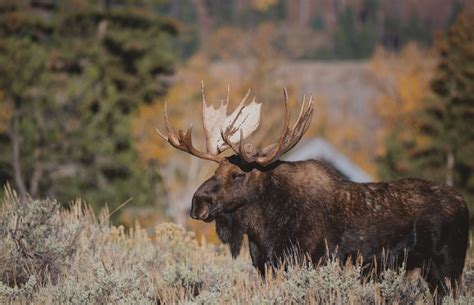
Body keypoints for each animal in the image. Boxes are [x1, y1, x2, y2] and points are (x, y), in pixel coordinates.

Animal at [157, 84, 468, 298]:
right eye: (215, 172)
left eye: (238, 175)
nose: (198, 203)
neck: (263, 229)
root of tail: (464, 204)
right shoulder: (265, 265)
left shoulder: (310, 260)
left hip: (449, 266)